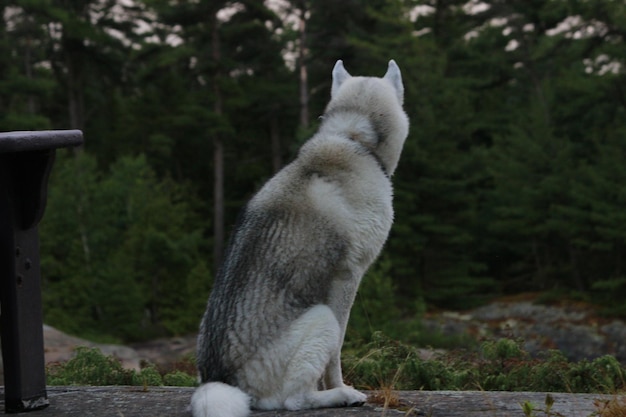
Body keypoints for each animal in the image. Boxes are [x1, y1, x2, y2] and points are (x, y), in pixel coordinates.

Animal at [191, 58, 410, 416]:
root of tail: (222, 380)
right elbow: (336, 355)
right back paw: (339, 396)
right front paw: (337, 386)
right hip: (321, 318)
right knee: (294, 400)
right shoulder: (347, 278)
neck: (353, 137)